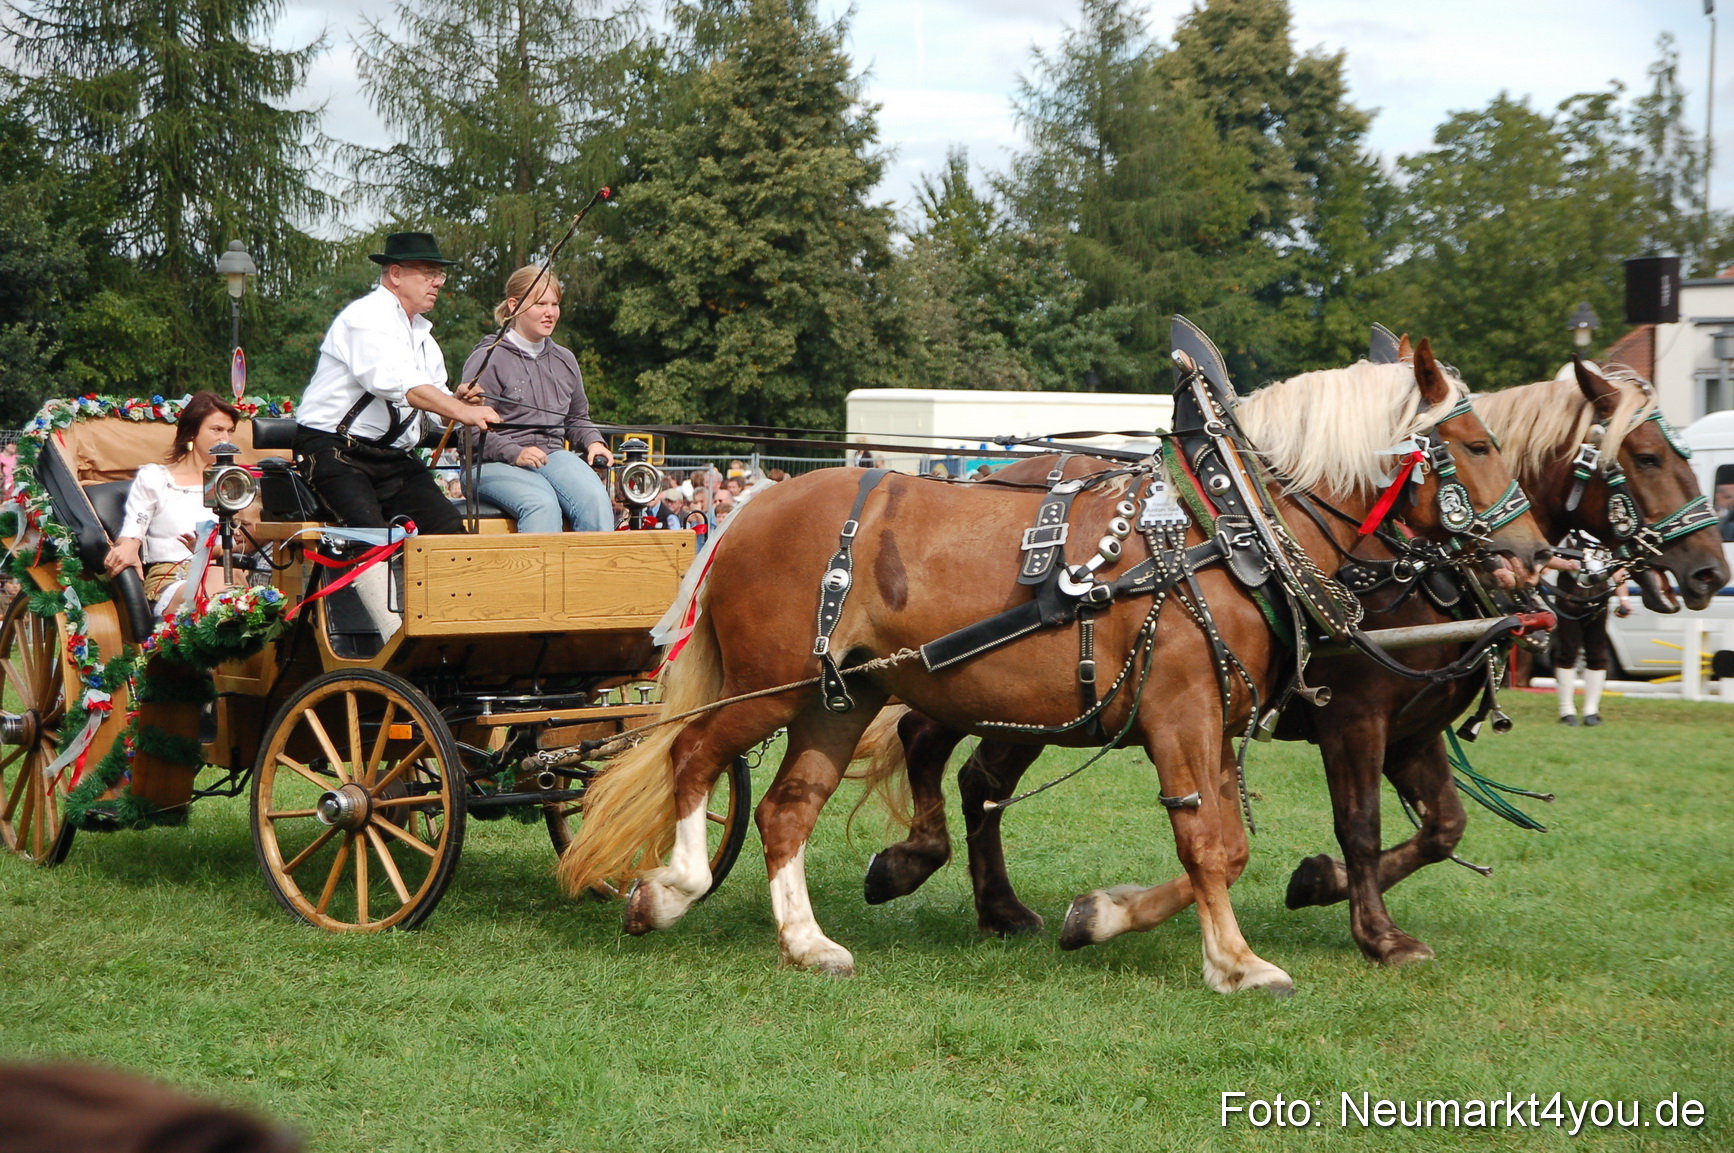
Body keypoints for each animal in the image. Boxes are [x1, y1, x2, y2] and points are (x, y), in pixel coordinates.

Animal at [557, 337, 1550, 992]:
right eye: (1475, 444)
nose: (1536, 555)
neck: (1230, 526)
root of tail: (744, 510)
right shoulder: (1193, 712)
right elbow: (1219, 841)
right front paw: (1237, 960)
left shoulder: (1229, 715)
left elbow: (1231, 841)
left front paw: (1112, 918)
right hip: (776, 687)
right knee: (695, 756)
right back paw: (671, 891)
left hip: (841, 697)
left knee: (788, 808)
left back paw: (809, 941)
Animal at [857, 356, 1725, 968]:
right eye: (1649, 456)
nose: (1712, 569)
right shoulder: (1358, 717)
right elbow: (1362, 824)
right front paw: (1376, 932)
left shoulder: (1413, 730)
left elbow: (1443, 827)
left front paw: (1319, 884)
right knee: (937, 750)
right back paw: (923, 868)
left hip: (1047, 700)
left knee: (972, 773)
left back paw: (991, 903)